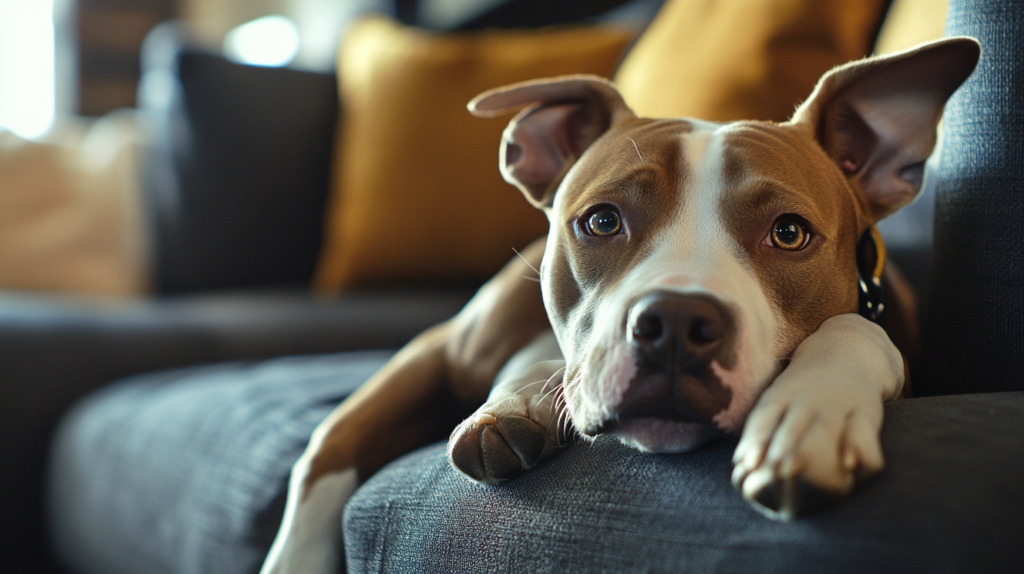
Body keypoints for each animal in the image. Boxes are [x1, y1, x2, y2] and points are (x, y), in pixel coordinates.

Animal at [260, 36, 978, 572]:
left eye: (790, 233)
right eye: (602, 221)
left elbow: (855, 332)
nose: (678, 323)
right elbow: (325, 451)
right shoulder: (435, 353)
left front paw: (807, 415)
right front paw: (519, 400)